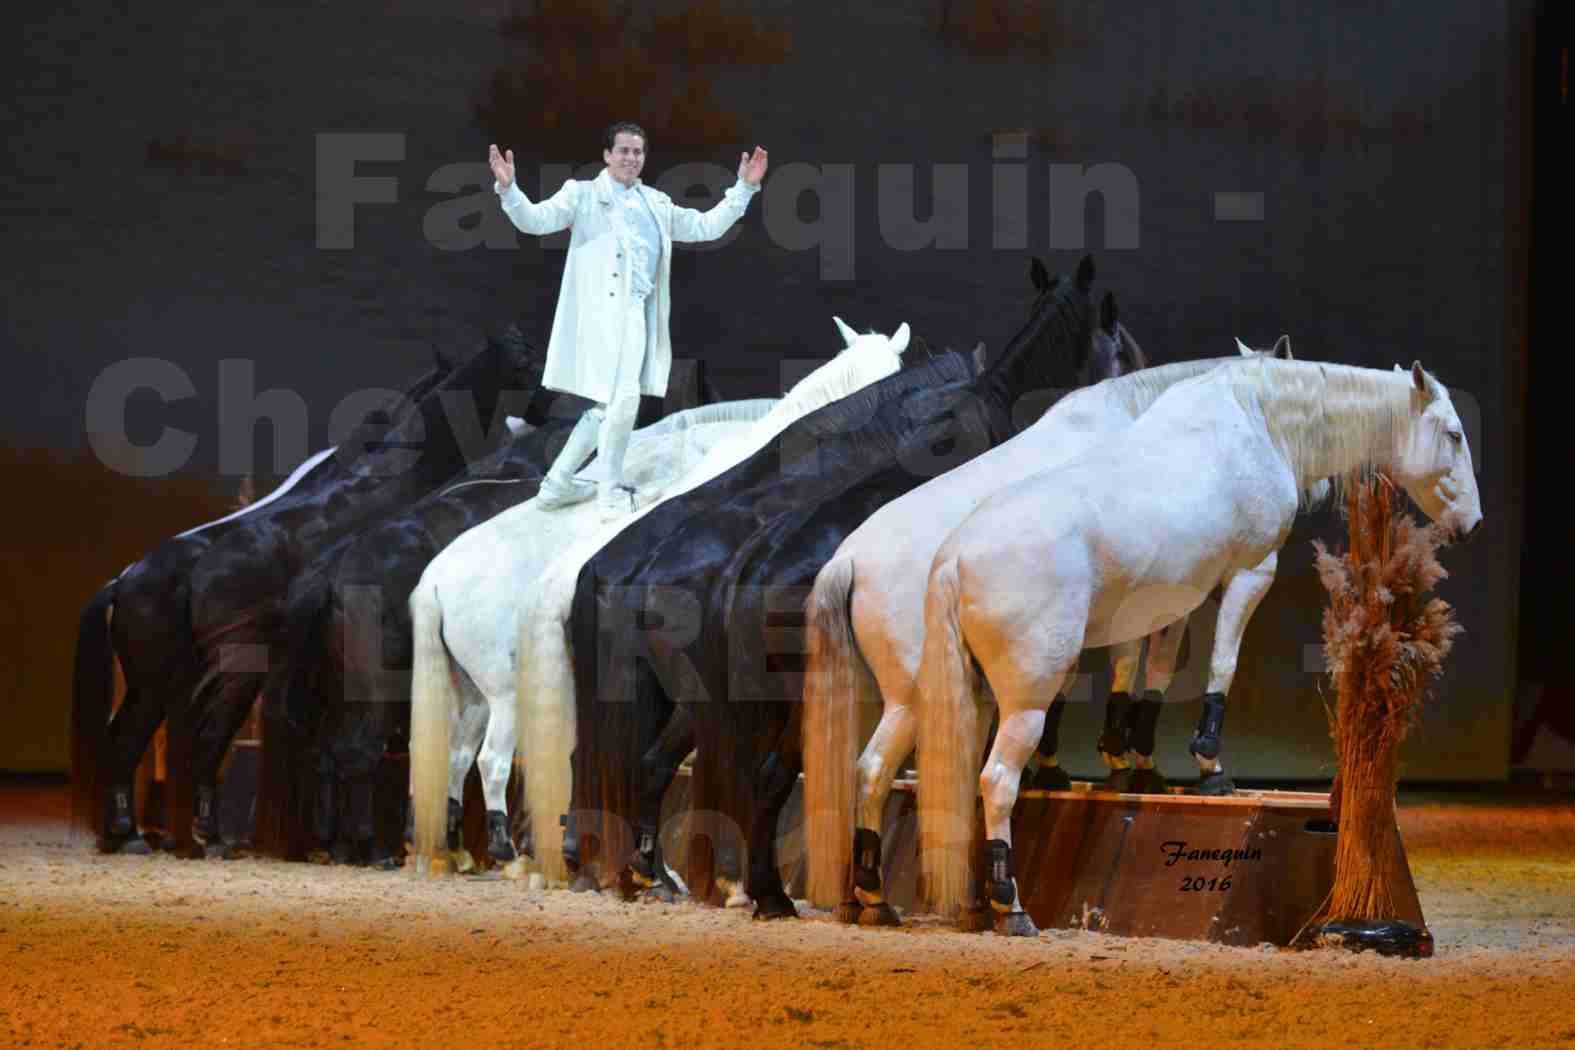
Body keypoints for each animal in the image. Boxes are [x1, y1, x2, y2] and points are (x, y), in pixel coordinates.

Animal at [919, 362, 1480, 938]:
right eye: (1454, 435)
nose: (1473, 523)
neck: (1256, 419)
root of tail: (955, 555)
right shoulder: (1251, 572)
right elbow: (1222, 664)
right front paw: (1211, 766)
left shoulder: (1175, 599)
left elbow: (1156, 675)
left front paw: (1144, 763)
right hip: (1026, 701)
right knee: (997, 782)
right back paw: (1011, 906)